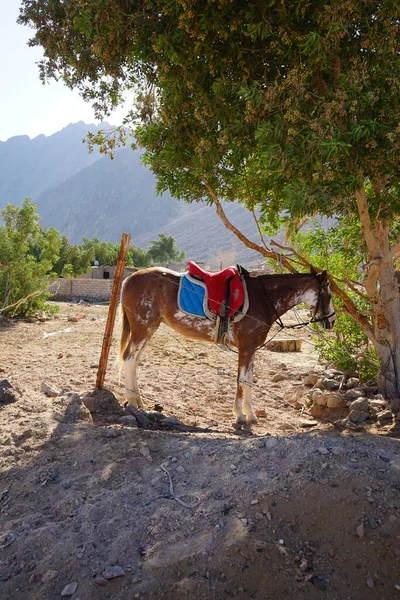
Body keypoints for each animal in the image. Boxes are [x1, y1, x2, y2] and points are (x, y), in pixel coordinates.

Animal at [119, 268, 334, 426]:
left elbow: (248, 380)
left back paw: (139, 402)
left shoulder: (251, 348)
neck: (264, 299)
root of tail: (129, 279)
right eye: (330, 295)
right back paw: (133, 403)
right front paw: (240, 415)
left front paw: (250, 414)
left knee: (134, 362)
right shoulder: (246, 347)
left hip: (150, 328)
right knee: (129, 359)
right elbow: (242, 380)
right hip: (143, 328)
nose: (331, 321)